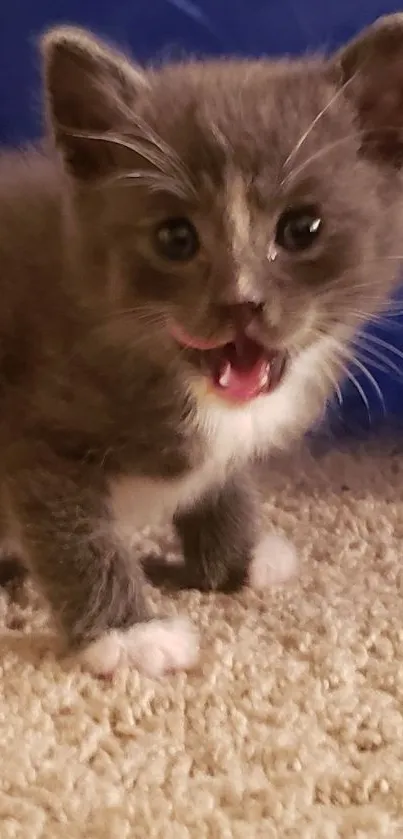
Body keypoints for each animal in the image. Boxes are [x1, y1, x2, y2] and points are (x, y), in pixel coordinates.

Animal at [0, 14, 403, 676]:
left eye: (302, 229)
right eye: (175, 238)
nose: (241, 302)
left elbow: (222, 479)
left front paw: (239, 557)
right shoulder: (34, 430)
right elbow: (72, 530)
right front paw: (129, 632)